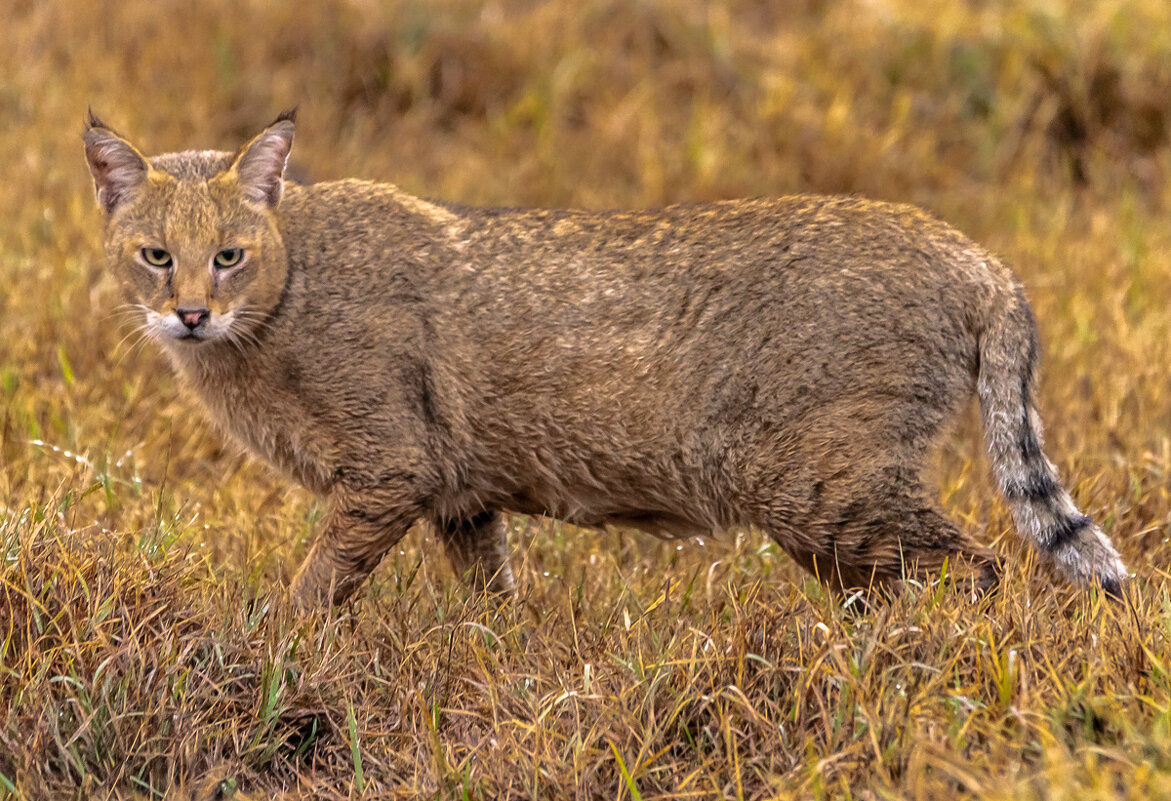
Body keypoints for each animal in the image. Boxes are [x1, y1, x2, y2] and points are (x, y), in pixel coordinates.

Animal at [82, 107, 1124, 608]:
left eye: (228, 255)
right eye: (155, 255)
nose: (188, 313)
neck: (277, 304)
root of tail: (976, 256)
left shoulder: (389, 471)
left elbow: (313, 588)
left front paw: (271, 649)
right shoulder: (457, 494)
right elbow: (491, 600)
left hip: (824, 489)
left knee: (975, 572)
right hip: (829, 512)